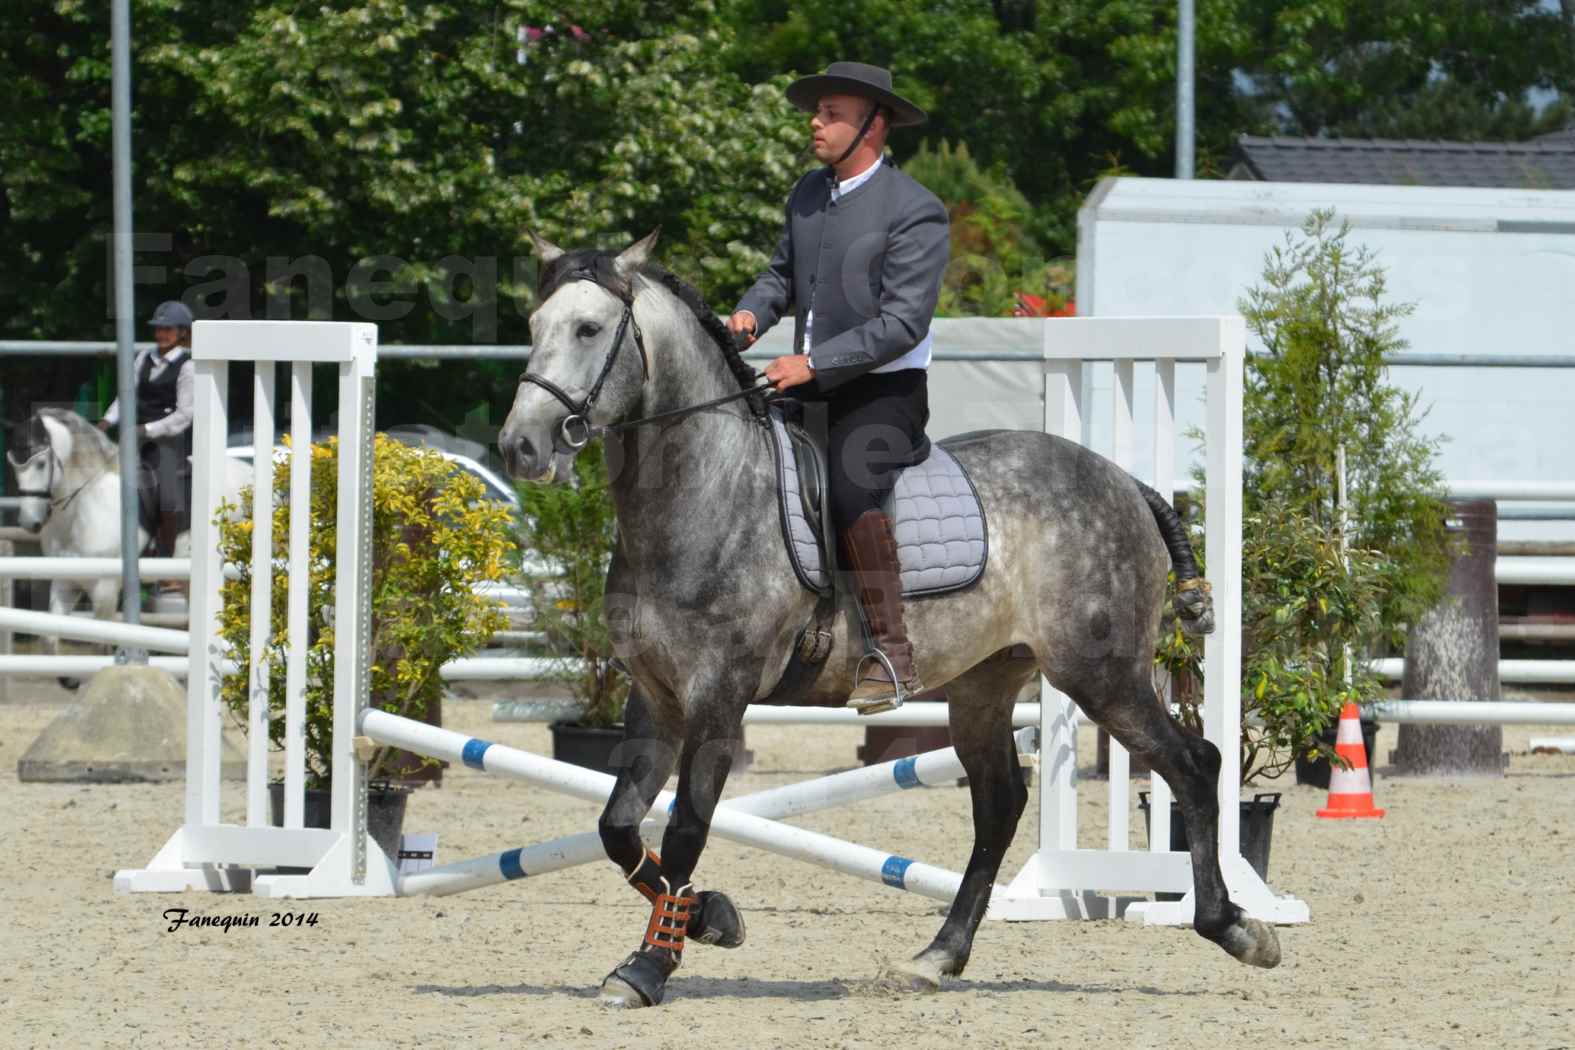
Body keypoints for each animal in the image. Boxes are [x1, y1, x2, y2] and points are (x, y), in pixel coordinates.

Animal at [497, 231, 1285, 1007]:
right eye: (532, 327)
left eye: (588, 328)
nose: (520, 447)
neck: (702, 493)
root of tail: (1124, 480)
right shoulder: (655, 696)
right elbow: (618, 829)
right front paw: (712, 917)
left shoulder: (718, 696)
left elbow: (687, 826)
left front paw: (651, 964)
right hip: (984, 684)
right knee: (999, 804)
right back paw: (937, 956)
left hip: (1101, 673)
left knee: (1193, 765)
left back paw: (1238, 929)